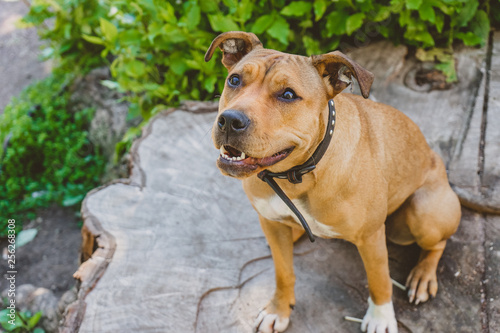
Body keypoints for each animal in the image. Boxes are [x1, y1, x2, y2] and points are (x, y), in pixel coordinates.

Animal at [204, 31, 460, 332]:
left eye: (288, 95)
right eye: (234, 80)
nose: (230, 120)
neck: (297, 174)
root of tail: (437, 159)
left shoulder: (371, 236)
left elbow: (379, 280)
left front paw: (380, 318)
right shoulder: (270, 222)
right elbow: (283, 272)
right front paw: (279, 309)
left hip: (423, 212)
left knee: (437, 244)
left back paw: (423, 276)